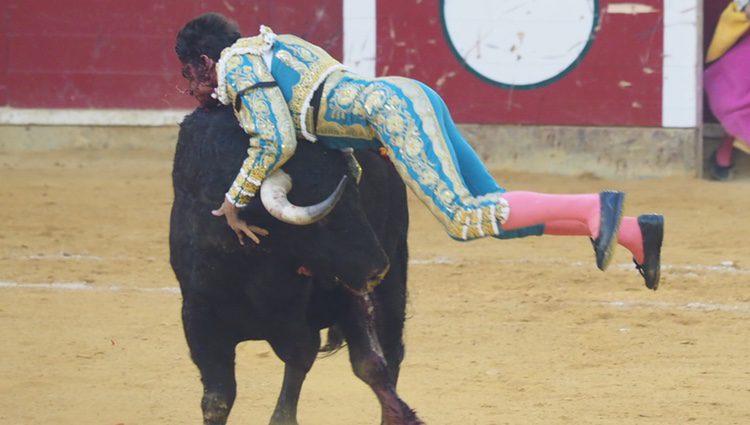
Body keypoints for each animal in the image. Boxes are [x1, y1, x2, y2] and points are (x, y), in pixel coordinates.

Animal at [172, 106, 424, 424]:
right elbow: (217, 400)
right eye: (325, 220)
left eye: (358, 200)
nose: (376, 269)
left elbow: (363, 364)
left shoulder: (334, 301)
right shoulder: (199, 318)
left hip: (393, 273)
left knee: (389, 351)